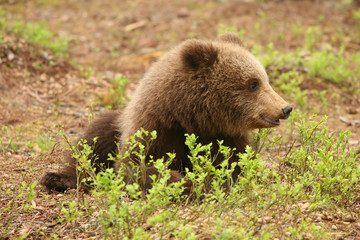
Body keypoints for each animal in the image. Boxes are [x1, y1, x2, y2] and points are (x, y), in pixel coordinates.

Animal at [40, 32, 292, 193]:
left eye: (265, 79)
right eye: (253, 83)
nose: (286, 108)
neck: (191, 118)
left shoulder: (226, 138)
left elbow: (235, 166)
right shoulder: (154, 129)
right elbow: (136, 167)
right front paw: (184, 180)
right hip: (114, 125)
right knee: (92, 143)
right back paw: (57, 178)